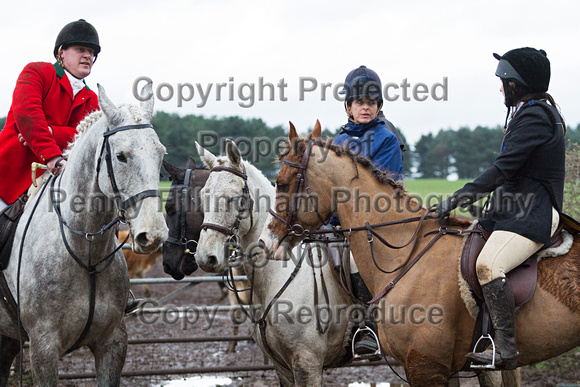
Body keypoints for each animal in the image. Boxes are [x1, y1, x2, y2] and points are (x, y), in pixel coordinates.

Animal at [0, 83, 168, 386]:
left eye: (160, 153)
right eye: (121, 156)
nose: (153, 235)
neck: (86, 251)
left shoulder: (113, 343)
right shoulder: (43, 348)